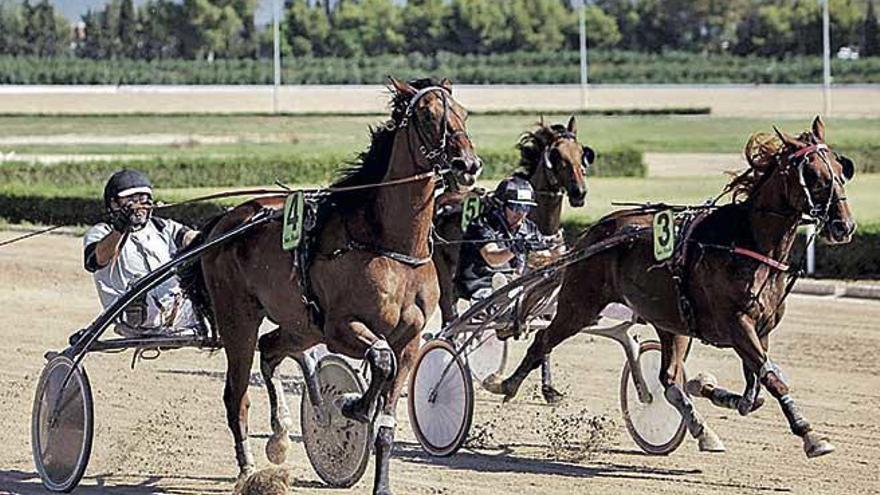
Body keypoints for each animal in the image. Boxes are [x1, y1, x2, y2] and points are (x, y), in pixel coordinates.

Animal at [199, 78, 478, 495]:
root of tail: (225, 221)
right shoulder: (340, 328)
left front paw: (381, 483)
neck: (391, 245)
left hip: (301, 325)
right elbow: (380, 359)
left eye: (462, 111)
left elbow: (387, 420)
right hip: (239, 319)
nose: (468, 165)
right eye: (427, 116)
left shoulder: (410, 340)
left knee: (270, 349)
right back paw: (249, 472)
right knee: (237, 396)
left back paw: (280, 436)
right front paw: (353, 404)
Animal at [432, 116, 592, 404]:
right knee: (450, 316)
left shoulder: (546, 293)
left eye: (581, 154)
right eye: (557, 156)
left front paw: (548, 389)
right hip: (444, 271)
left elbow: (545, 334)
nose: (579, 193)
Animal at [488, 117, 852, 462]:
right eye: (814, 175)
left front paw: (709, 388)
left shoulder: (761, 329)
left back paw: (702, 429)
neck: (747, 244)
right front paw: (810, 435)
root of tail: (593, 233)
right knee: (543, 339)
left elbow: (757, 387)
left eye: (840, 169)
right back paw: (505, 383)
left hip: (669, 321)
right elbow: (772, 378)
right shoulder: (737, 325)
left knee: (669, 380)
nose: (844, 226)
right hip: (580, 305)